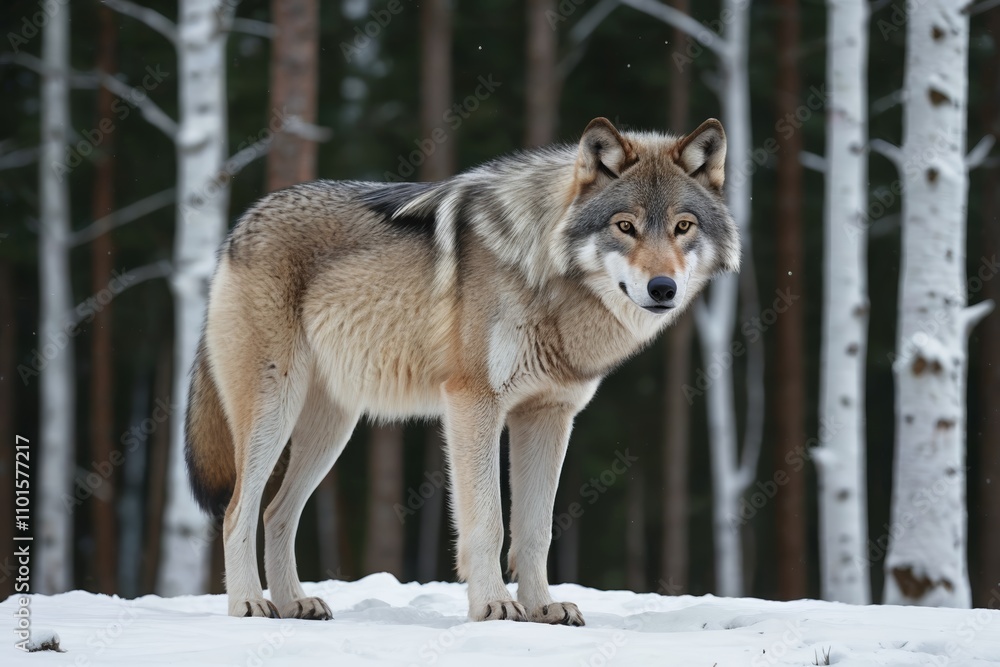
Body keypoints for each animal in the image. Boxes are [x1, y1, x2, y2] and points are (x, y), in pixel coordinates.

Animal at [185, 116, 740, 625]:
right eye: (625, 226)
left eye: (683, 227)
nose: (664, 288)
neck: (546, 277)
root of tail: (240, 226)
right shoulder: (473, 403)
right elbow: (488, 522)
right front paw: (494, 606)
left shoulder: (549, 415)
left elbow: (536, 530)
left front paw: (543, 608)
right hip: (275, 412)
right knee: (238, 511)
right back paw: (249, 604)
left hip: (331, 430)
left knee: (277, 512)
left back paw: (295, 603)